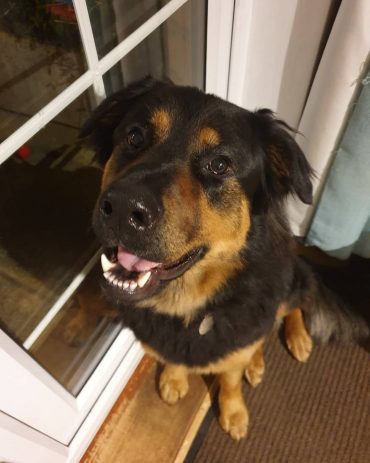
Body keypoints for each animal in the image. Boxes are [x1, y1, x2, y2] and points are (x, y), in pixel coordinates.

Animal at [80, 78, 370, 440]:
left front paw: (233, 413)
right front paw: (173, 378)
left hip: (289, 281)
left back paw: (296, 339)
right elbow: (173, 358)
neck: (189, 305)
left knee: (292, 306)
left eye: (220, 165)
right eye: (134, 137)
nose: (122, 208)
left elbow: (230, 379)